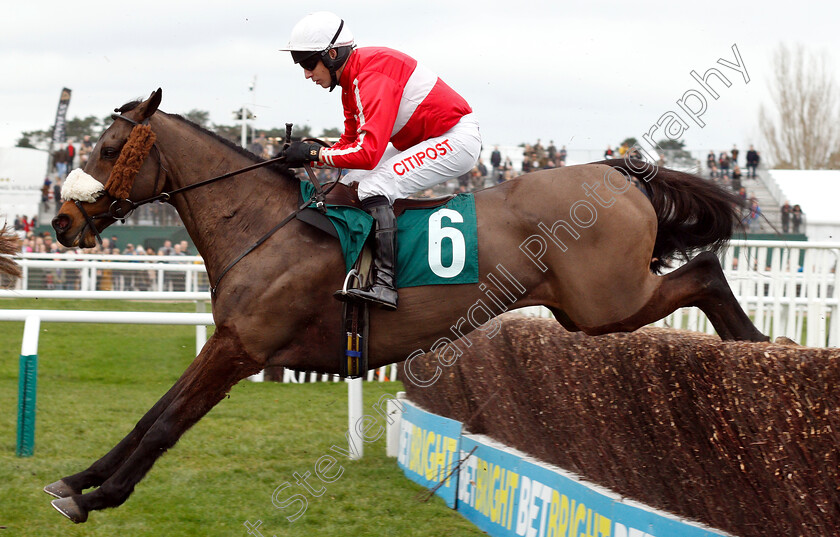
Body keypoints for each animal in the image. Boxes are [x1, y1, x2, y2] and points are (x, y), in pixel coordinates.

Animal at [46, 90, 764, 520]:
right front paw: (76, 482)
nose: (60, 221)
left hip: (606, 302)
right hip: (589, 306)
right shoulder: (229, 342)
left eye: (108, 148)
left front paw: (102, 495)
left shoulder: (242, 346)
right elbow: (151, 414)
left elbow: (166, 422)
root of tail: (619, 169)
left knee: (705, 268)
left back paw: (760, 349)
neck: (265, 224)